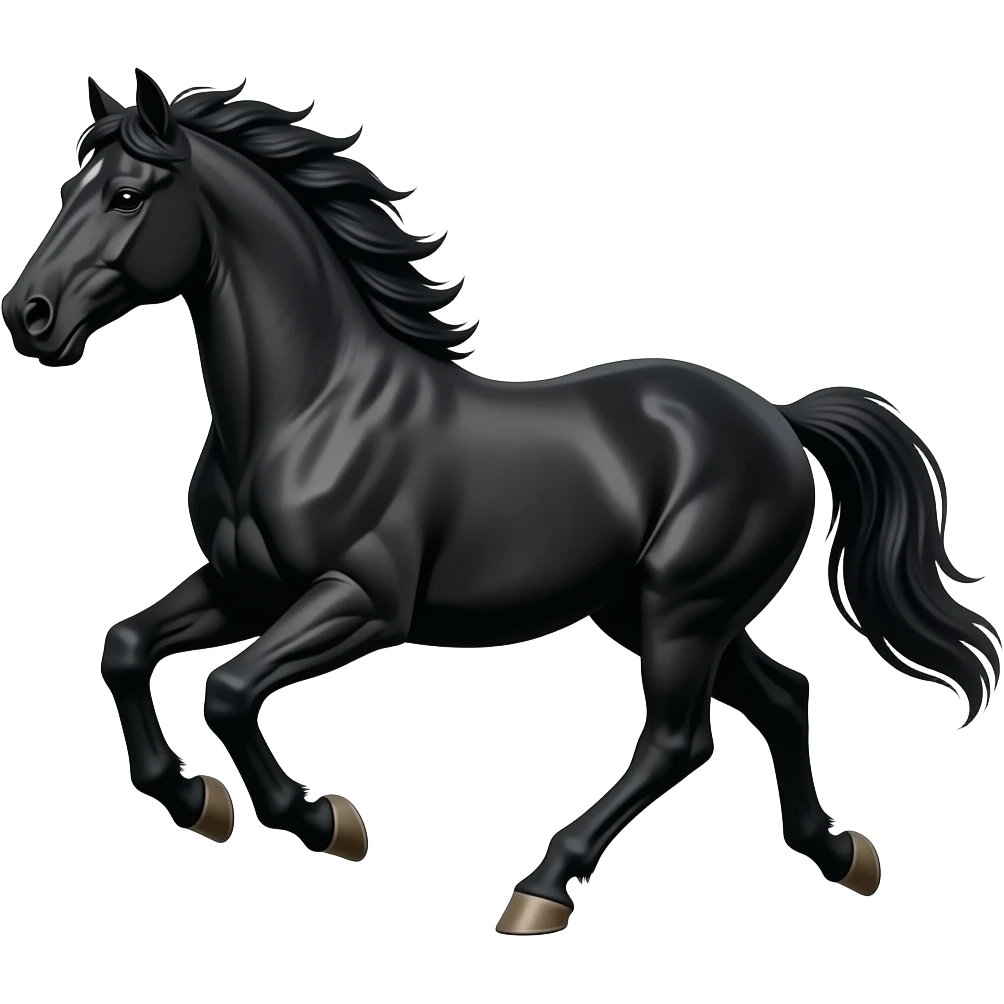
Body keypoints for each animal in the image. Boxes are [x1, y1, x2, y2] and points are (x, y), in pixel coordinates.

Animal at [2, 69, 998, 937]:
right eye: (68, 187)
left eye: (126, 196)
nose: (29, 316)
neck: (310, 411)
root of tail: (780, 420)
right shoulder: (247, 586)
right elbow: (126, 647)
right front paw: (198, 801)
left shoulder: (364, 603)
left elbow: (231, 689)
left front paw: (324, 820)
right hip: (655, 610)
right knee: (785, 697)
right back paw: (841, 855)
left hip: (683, 608)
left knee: (681, 740)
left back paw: (540, 890)